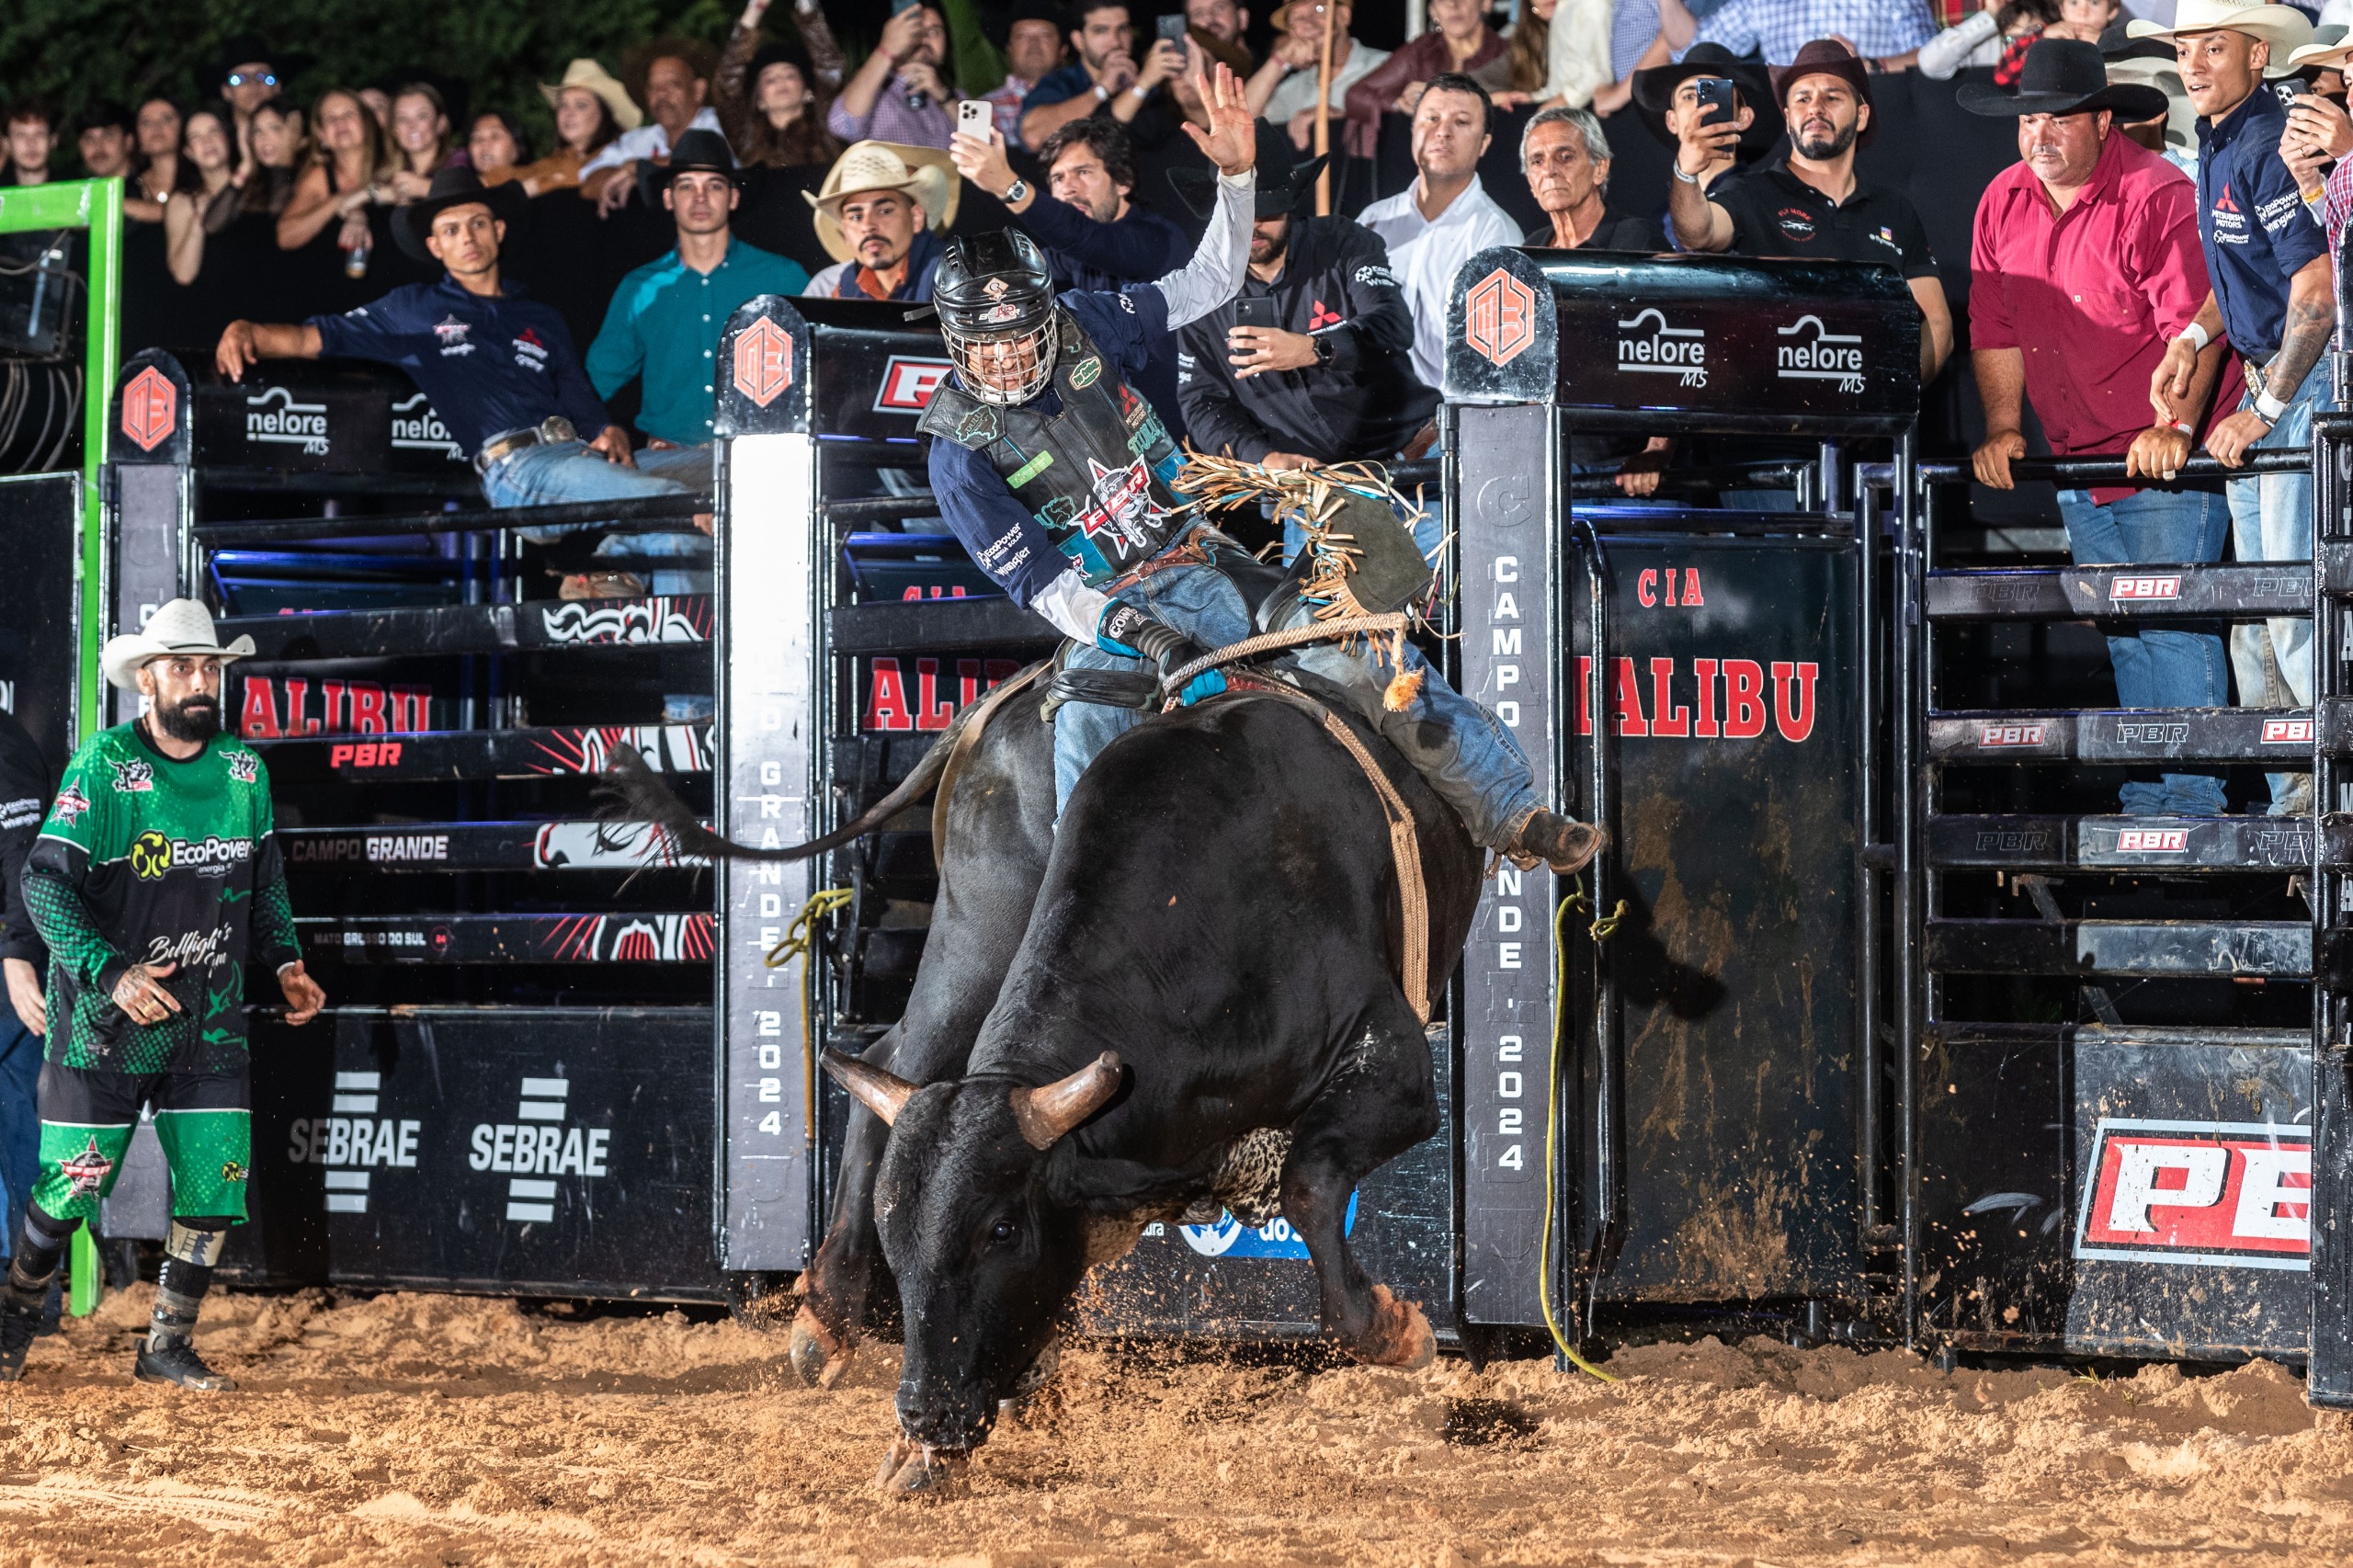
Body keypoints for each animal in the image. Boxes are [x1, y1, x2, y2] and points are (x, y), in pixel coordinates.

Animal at [616, 682, 1477, 1469]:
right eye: (898, 1232)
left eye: (1003, 1229)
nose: (924, 1413)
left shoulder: (1395, 1063)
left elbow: (1309, 1180)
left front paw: (1393, 1330)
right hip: (978, 930)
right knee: (901, 1062)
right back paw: (829, 1321)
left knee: (895, 1059)